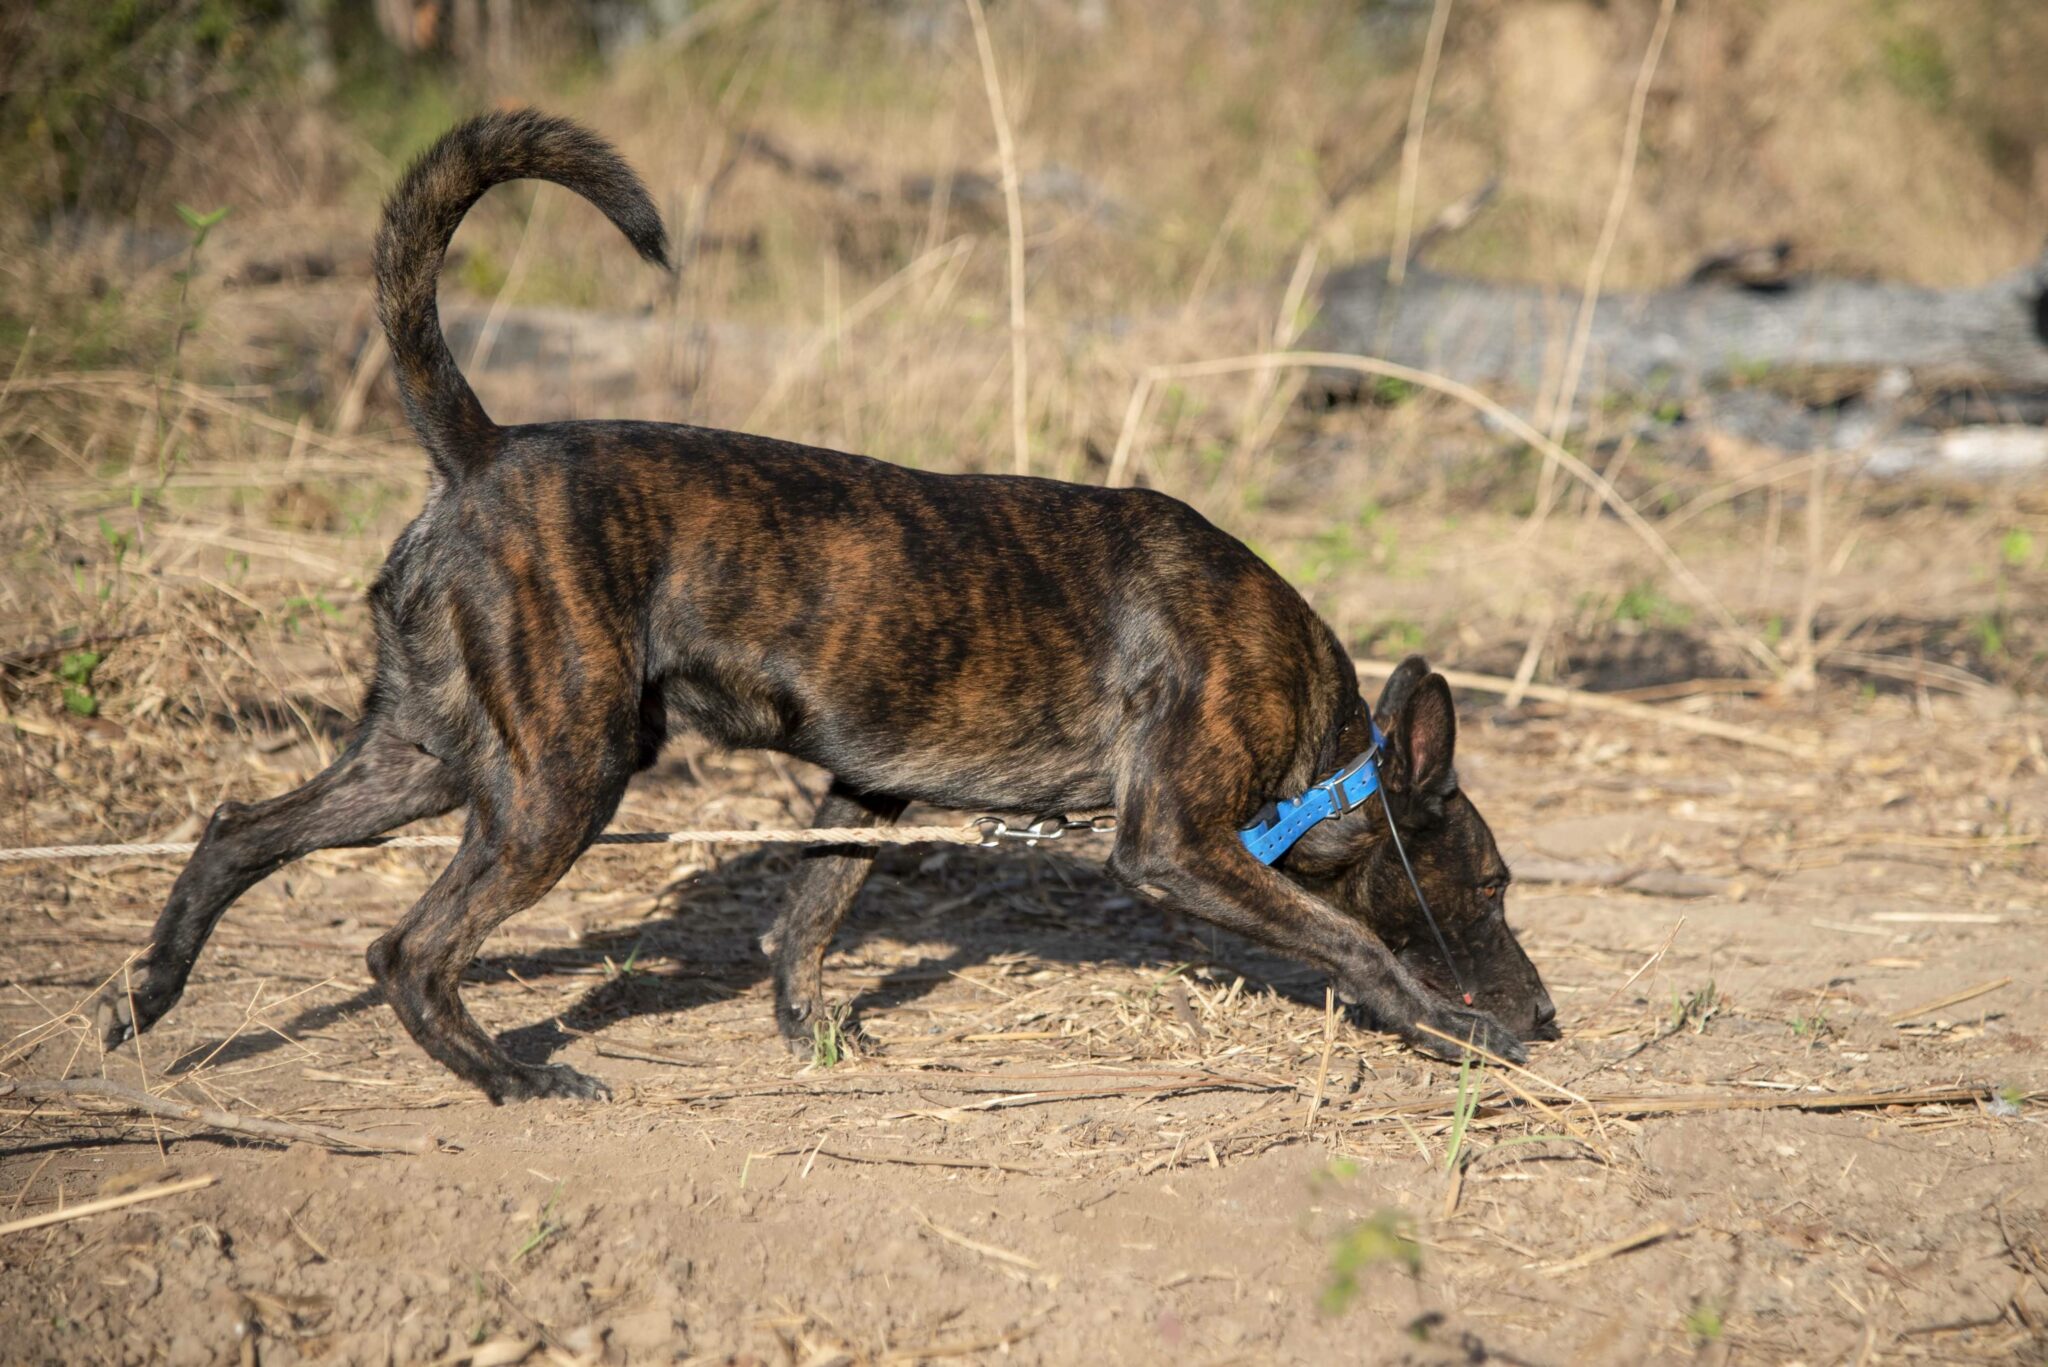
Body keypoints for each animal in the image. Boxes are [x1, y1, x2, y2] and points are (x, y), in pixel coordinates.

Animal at [92, 112, 1548, 1106]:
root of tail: (484, 449)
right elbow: (1352, 941)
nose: (1546, 1015)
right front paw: (1460, 1029)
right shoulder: (1176, 845)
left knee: (235, 829)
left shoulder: (867, 790)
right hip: (562, 773)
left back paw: (149, 991)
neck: (1323, 747)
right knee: (407, 944)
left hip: (423, 756)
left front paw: (817, 1038)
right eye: (1488, 881)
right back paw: (510, 1074)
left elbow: (804, 921)